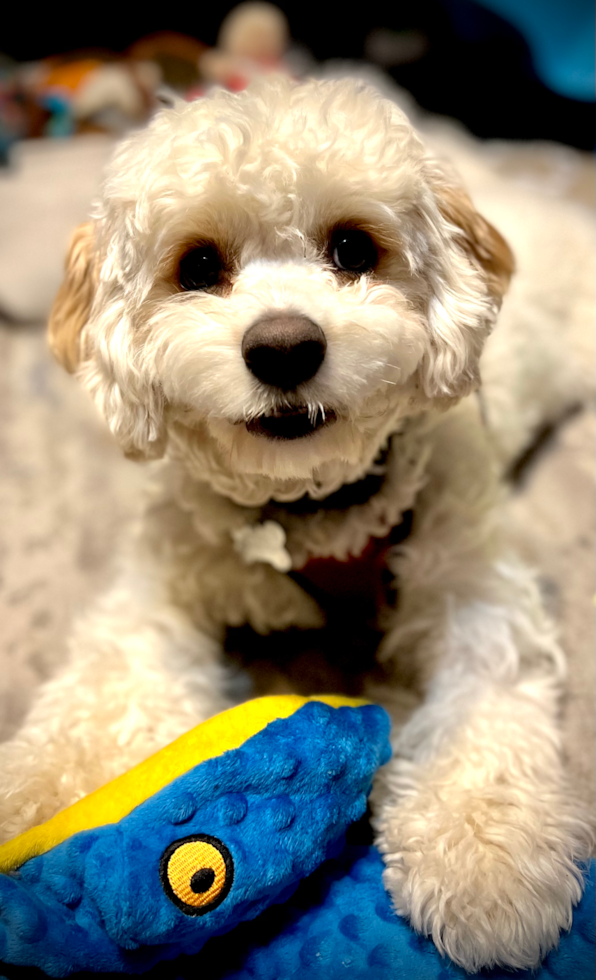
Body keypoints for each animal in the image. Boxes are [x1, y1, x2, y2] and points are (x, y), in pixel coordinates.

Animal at [0, 76, 592, 972]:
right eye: (198, 266)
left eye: (352, 249)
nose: (283, 348)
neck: (311, 510)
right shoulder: (162, 586)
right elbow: (107, 687)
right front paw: (39, 791)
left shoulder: (474, 589)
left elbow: (480, 717)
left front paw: (486, 858)